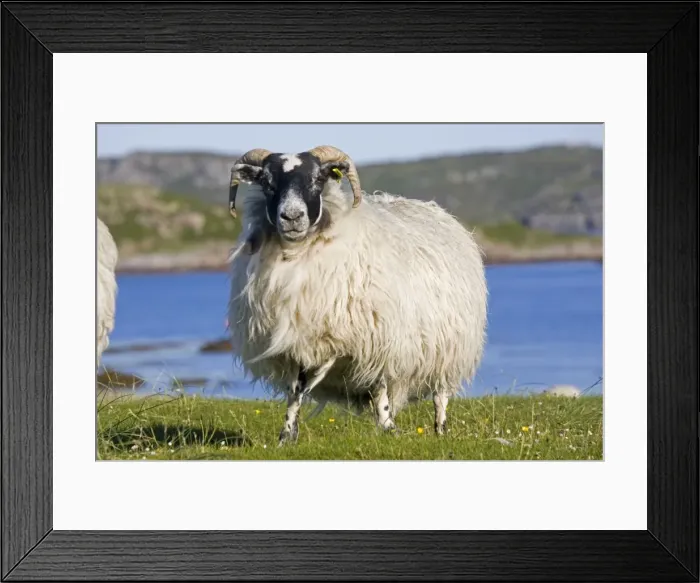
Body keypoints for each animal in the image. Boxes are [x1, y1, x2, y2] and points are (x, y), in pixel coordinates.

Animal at [226, 145, 488, 445]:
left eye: (318, 179)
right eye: (267, 182)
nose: (292, 217)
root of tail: (437, 211)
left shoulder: (378, 339)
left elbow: (380, 387)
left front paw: (388, 427)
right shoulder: (298, 343)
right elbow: (296, 390)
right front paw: (287, 435)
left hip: (448, 349)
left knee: (439, 395)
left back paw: (440, 429)